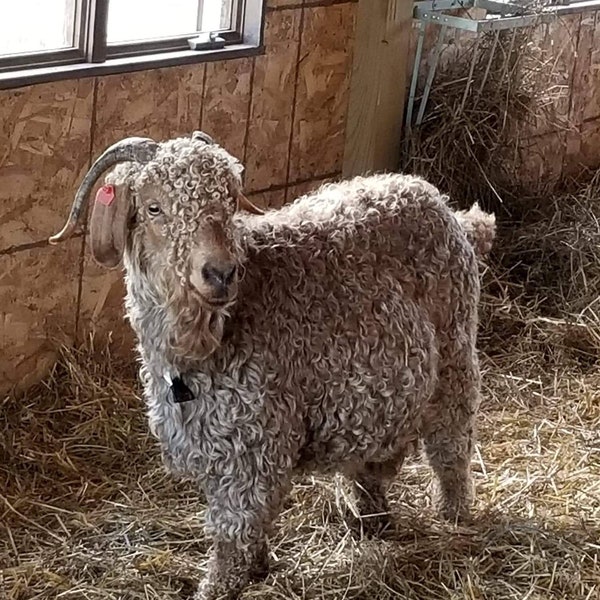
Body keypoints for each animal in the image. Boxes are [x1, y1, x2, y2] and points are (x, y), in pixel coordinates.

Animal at [50, 132, 492, 600]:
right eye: (154, 208)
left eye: (228, 202)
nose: (220, 273)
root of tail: (437, 201)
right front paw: (259, 566)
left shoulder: (253, 441)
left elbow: (234, 533)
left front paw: (220, 586)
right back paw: (373, 518)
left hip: (455, 357)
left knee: (451, 446)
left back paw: (454, 517)